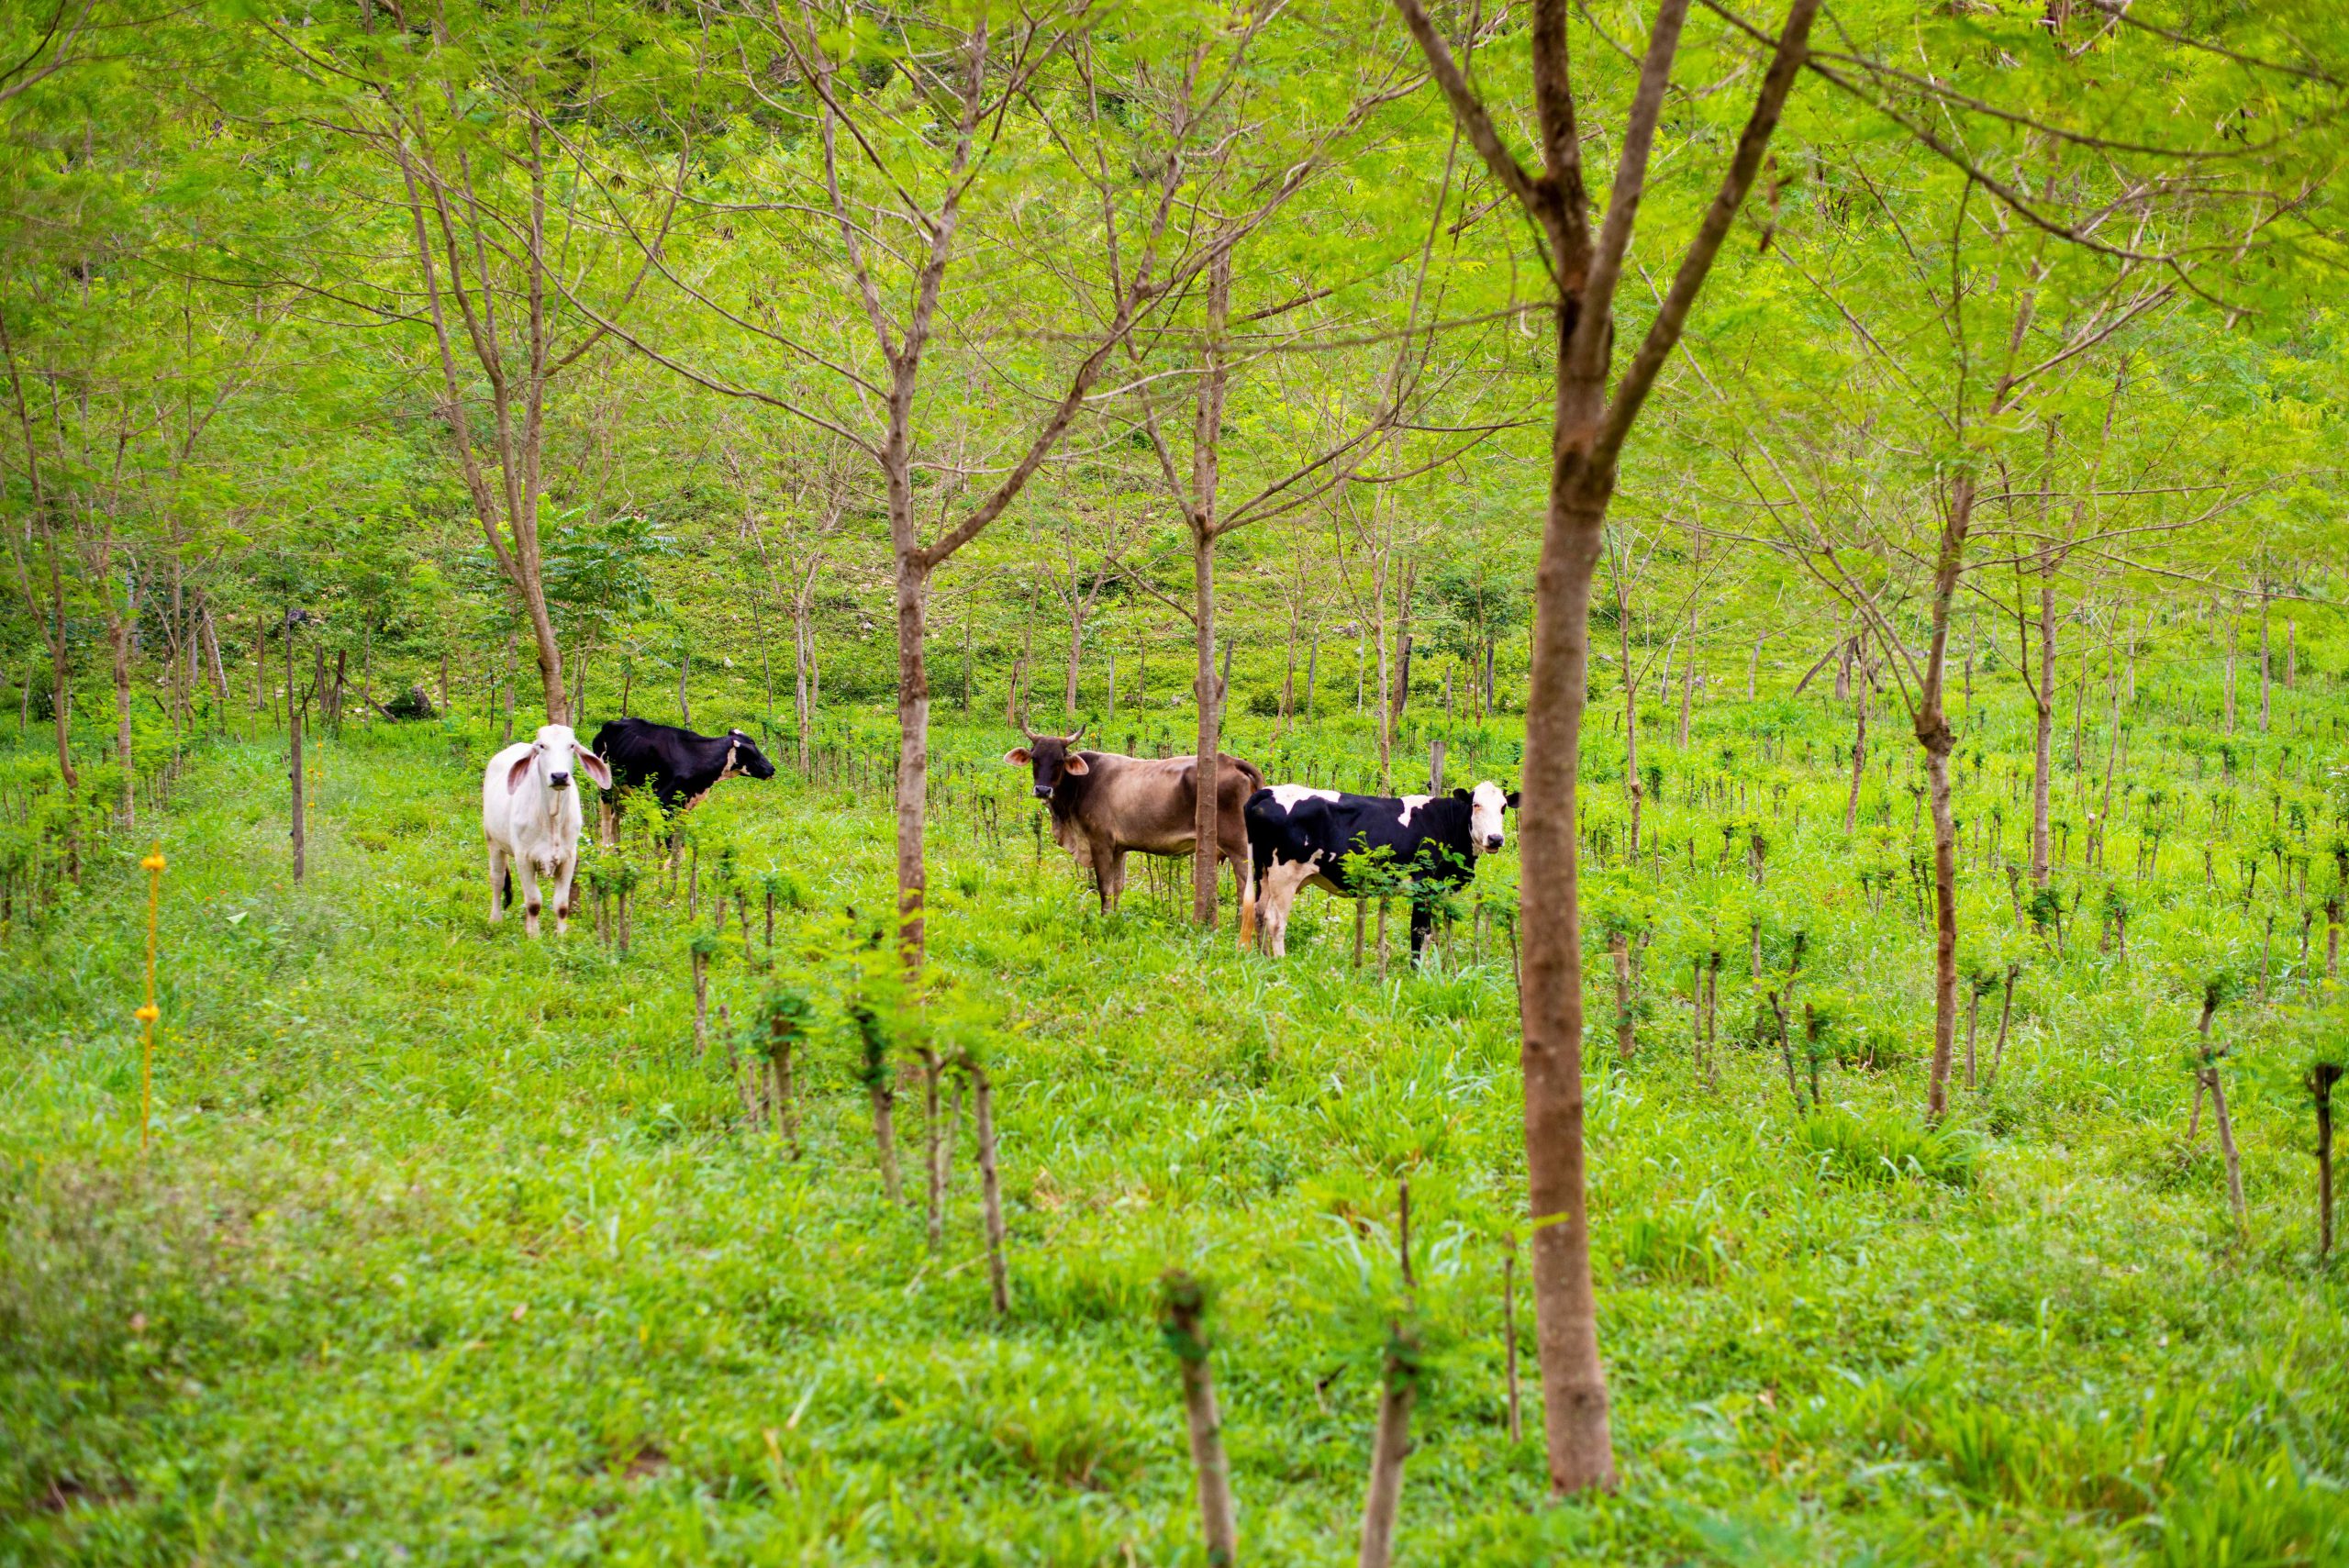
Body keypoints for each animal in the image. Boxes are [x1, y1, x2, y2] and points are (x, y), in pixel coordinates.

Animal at [481, 728, 610, 939]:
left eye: (571, 745)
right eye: (542, 746)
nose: (559, 776)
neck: (552, 818)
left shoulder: (569, 858)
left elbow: (562, 905)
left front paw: (561, 937)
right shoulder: (523, 857)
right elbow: (534, 903)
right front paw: (534, 937)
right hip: (493, 842)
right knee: (497, 880)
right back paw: (495, 920)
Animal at [1009, 728, 1268, 929]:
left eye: (1059, 760)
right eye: (1035, 758)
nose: (1042, 790)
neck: (1081, 784)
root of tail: (1231, 761)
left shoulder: (1100, 843)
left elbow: (1104, 886)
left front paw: (1104, 918)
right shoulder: (1118, 849)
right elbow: (1117, 886)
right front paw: (1113, 917)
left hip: (1238, 845)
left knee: (1247, 883)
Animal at [1249, 779, 1521, 957]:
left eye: (1503, 807)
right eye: (1476, 805)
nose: (1495, 839)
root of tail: (1268, 791)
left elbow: (1429, 936)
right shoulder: (1423, 887)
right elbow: (1419, 933)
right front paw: (1417, 975)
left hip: (1262, 873)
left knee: (1258, 913)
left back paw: (1263, 959)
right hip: (1284, 875)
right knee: (1276, 921)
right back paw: (1280, 963)